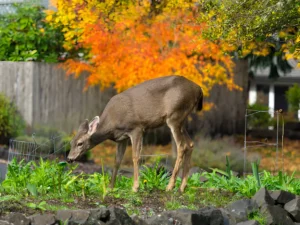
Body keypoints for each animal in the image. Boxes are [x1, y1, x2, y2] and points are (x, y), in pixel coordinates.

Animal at [67, 75, 203, 192]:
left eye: (80, 143)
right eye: (71, 142)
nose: (69, 158)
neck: (112, 124)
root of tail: (198, 89)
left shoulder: (136, 128)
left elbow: (135, 157)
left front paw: (135, 187)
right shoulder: (121, 138)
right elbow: (117, 161)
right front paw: (111, 187)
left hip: (175, 116)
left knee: (182, 146)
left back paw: (170, 186)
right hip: (182, 120)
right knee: (190, 144)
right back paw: (182, 187)